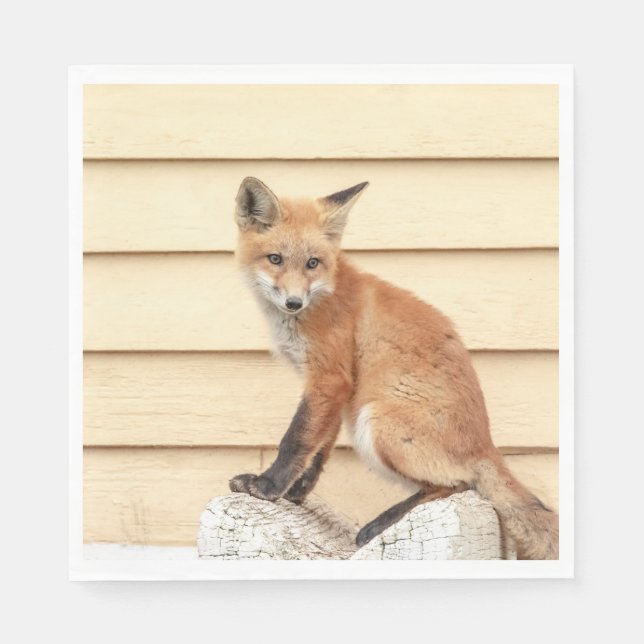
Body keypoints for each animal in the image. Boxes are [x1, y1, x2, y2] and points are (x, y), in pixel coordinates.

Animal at [228, 176, 559, 560]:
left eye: (312, 262)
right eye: (275, 259)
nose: (294, 302)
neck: (322, 295)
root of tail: (487, 446)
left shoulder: (329, 378)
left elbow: (296, 440)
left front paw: (267, 486)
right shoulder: (336, 389)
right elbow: (319, 450)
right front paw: (296, 493)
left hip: (376, 424)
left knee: (461, 484)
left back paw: (382, 521)